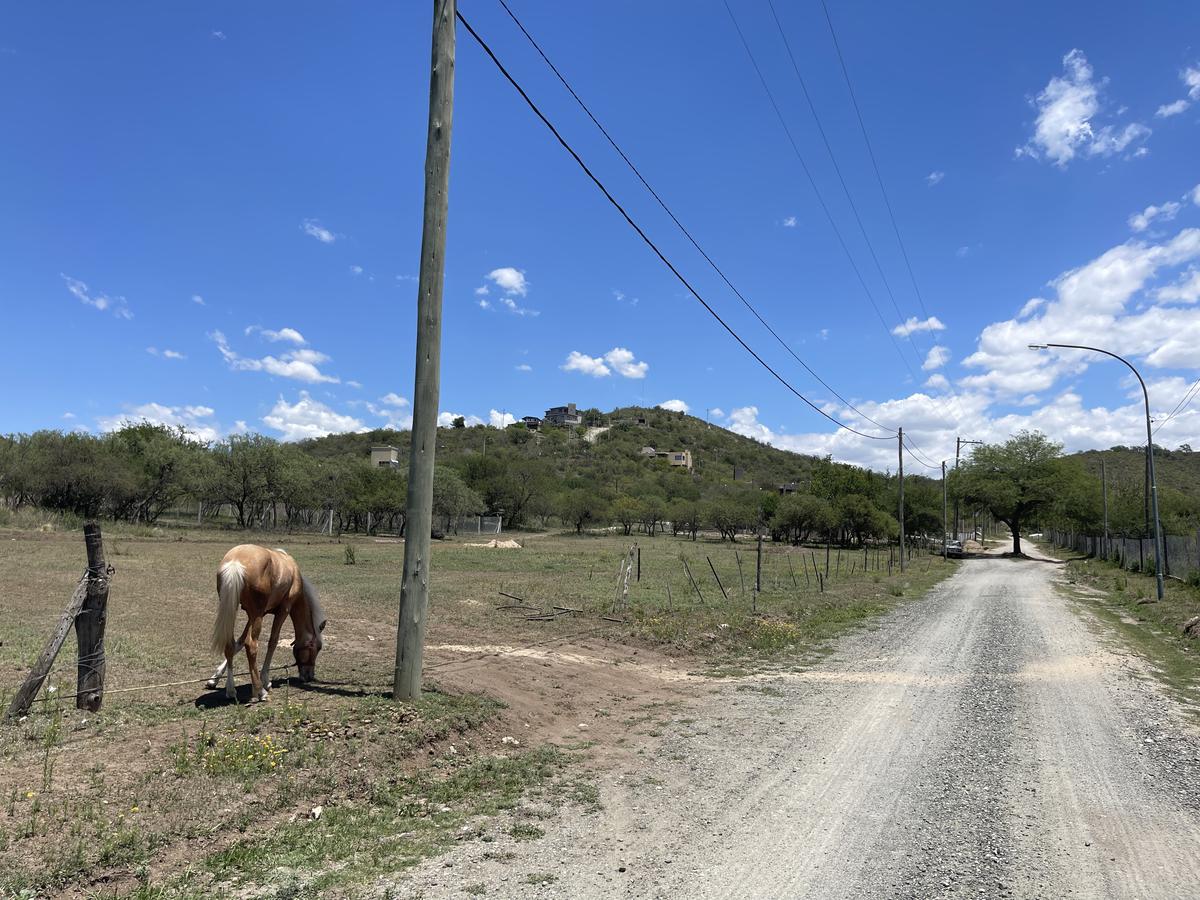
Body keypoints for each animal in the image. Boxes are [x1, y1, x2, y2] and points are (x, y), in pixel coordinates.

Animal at [206, 547, 326, 700]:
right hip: (256, 615)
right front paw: (266, 680)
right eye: (317, 648)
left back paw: (231, 690)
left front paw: (214, 679)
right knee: (251, 645)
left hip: (233, 609)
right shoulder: (283, 610)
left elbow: (239, 642)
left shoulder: (255, 615)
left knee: (230, 644)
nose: (310, 676)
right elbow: (272, 642)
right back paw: (260, 691)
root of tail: (235, 561)